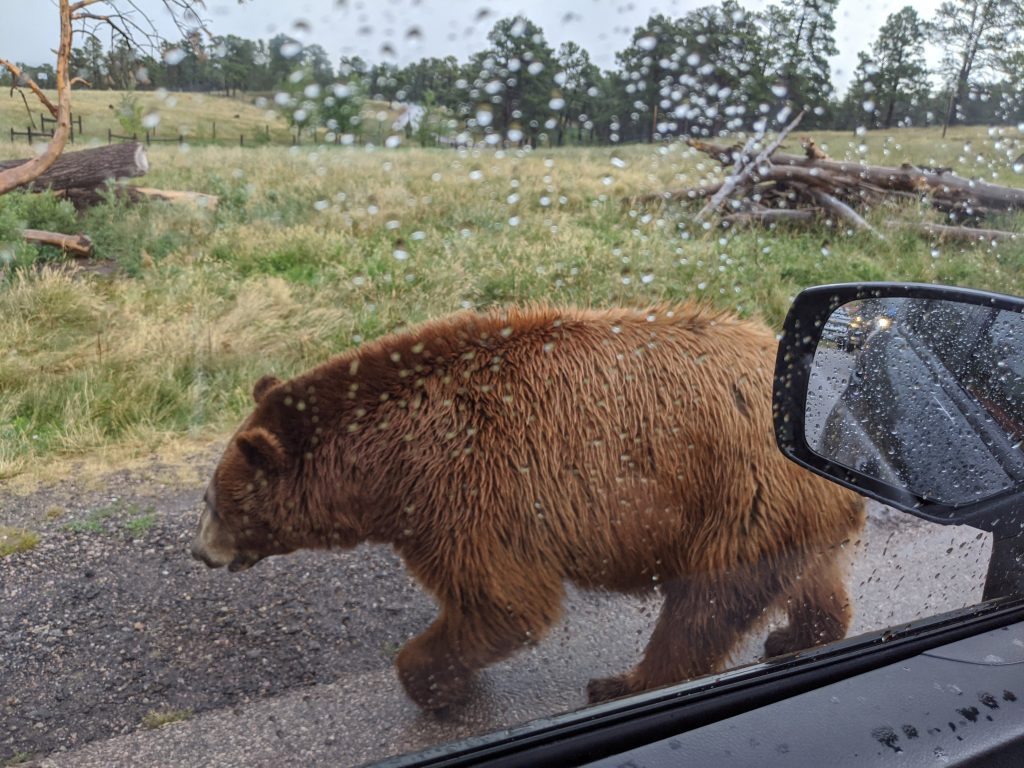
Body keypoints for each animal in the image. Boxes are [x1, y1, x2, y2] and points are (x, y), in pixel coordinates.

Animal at [192, 303, 864, 712]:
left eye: (214, 500)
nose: (199, 551)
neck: (388, 467)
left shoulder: (471, 493)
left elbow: (502, 602)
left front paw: (431, 682)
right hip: (787, 506)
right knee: (807, 577)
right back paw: (797, 634)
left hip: (735, 493)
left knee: (705, 604)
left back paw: (622, 683)